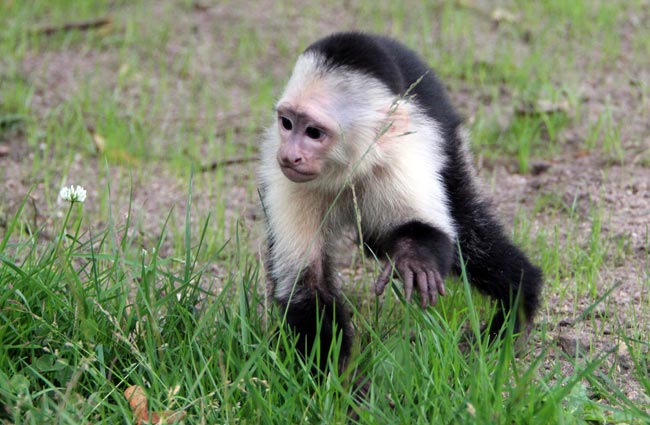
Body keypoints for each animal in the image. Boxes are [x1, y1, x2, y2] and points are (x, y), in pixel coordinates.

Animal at [258, 32, 543, 372]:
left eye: (313, 132)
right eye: (287, 123)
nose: (290, 155)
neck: (347, 169)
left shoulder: (399, 155)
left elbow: (431, 229)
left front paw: (413, 260)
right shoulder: (290, 181)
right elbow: (306, 284)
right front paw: (332, 375)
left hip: (449, 140)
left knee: (468, 230)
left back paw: (519, 300)